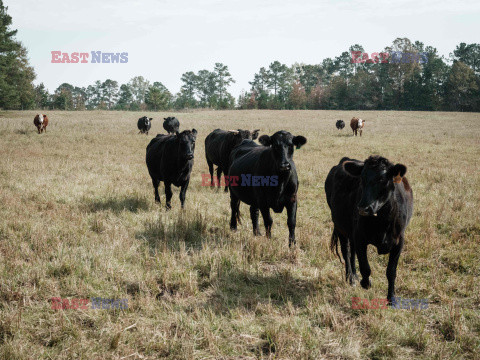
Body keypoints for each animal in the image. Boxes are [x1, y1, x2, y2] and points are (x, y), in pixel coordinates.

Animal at [324, 156, 414, 302]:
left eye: (382, 179)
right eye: (361, 178)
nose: (363, 208)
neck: (383, 221)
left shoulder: (399, 241)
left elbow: (391, 271)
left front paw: (391, 298)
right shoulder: (360, 237)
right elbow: (365, 267)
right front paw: (365, 283)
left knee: (352, 251)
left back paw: (354, 275)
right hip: (340, 227)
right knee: (346, 251)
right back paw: (351, 278)